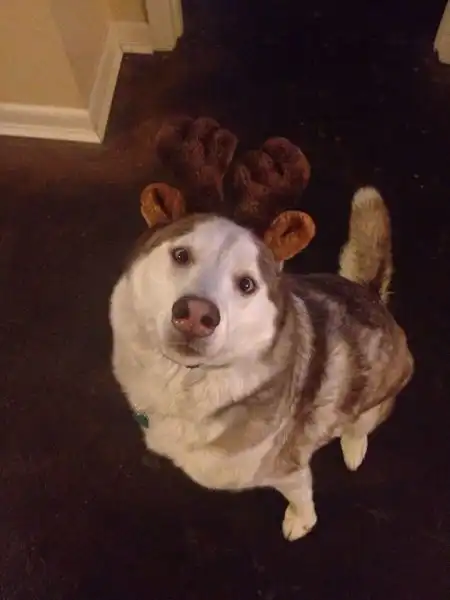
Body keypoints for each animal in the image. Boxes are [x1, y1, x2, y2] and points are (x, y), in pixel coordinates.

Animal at [109, 186, 414, 541]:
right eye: (181, 255)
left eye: (246, 284)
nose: (197, 315)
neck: (185, 386)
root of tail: (371, 296)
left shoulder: (288, 468)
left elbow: (301, 496)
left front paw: (302, 520)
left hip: (374, 399)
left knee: (360, 424)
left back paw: (353, 445)